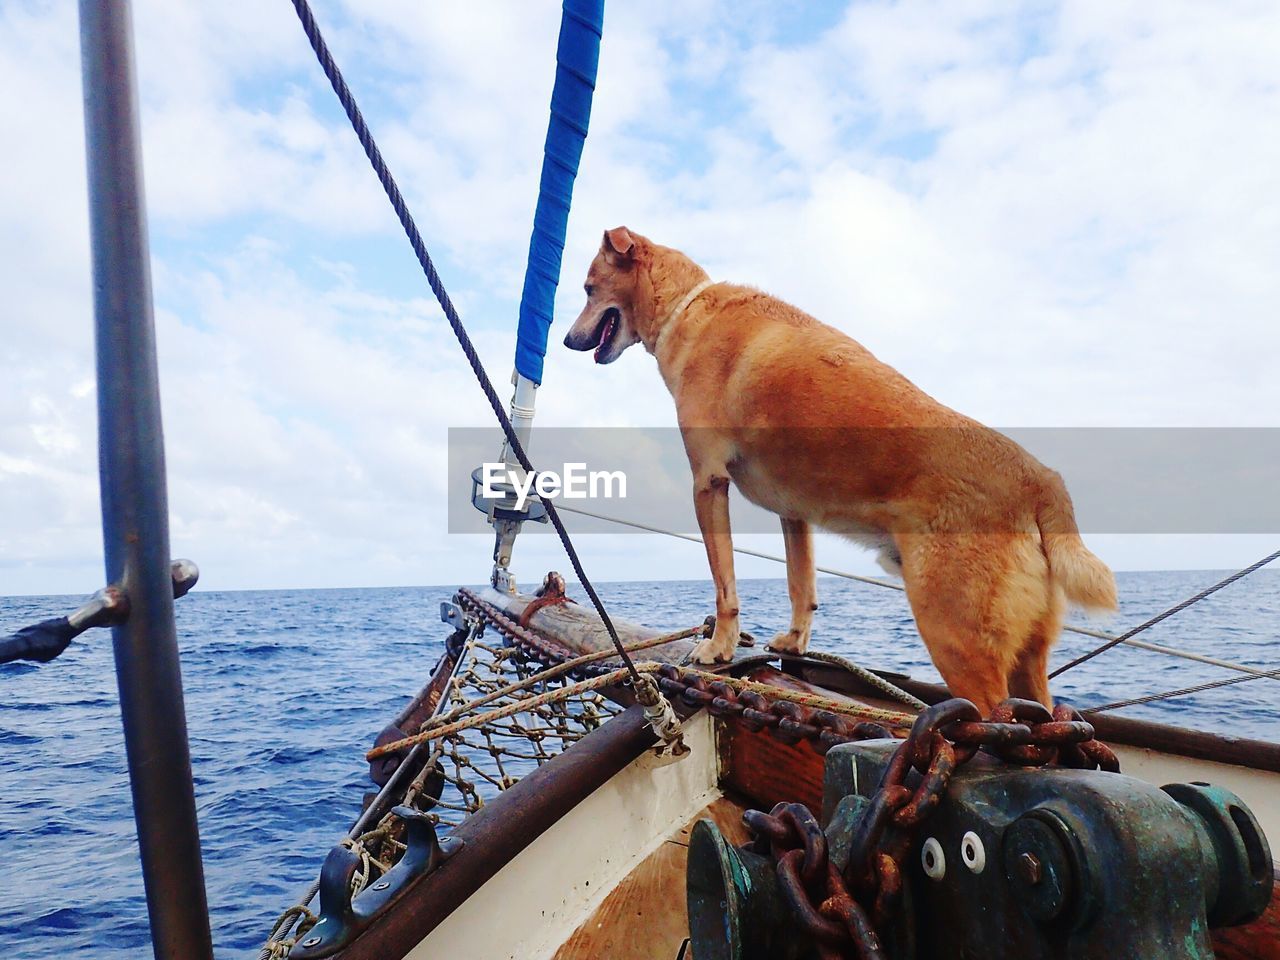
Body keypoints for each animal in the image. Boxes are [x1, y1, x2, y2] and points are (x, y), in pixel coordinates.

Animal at [565, 229, 1116, 716]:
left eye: (589, 289)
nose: (569, 341)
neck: (686, 306)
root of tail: (1042, 481)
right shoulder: (793, 512)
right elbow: (801, 585)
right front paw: (794, 642)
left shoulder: (708, 482)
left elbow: (726, 586)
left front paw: (719, 647)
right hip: (1026, 658)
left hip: (955, 637)